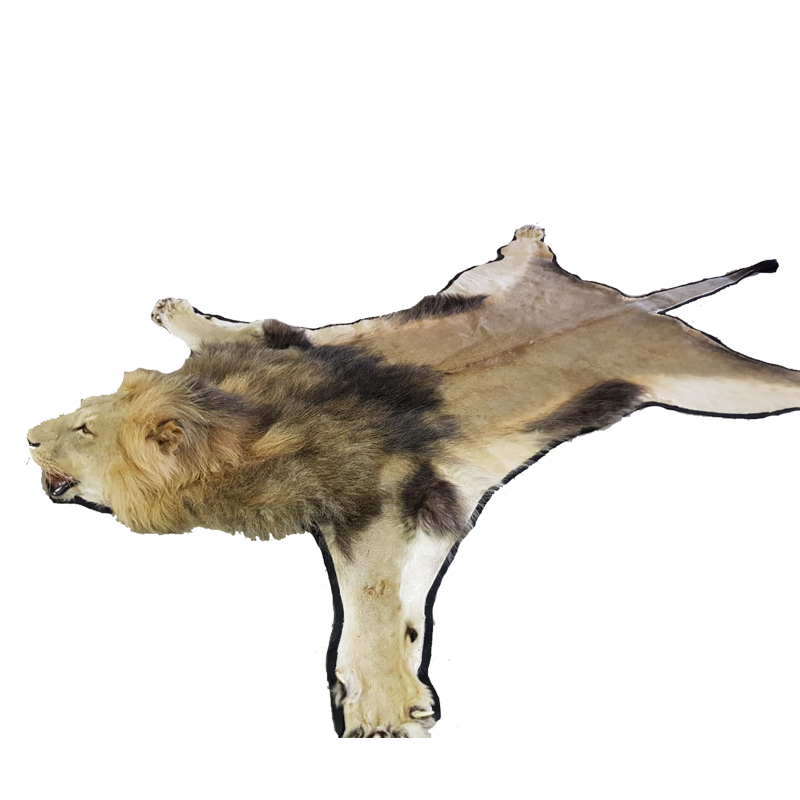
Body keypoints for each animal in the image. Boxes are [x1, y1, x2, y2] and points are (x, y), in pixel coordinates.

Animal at [27, 227, 800, 737]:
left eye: (84, 430)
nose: (29, 439)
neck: (243, 421)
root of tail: (634, 305)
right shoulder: (295, 350)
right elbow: (229, 332)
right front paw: (176, 315)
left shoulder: (386, 502)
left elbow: (370, 607)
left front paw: (383, 706)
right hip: (480, 287)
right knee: (522, 266)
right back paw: (526, 240)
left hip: (709, 384)